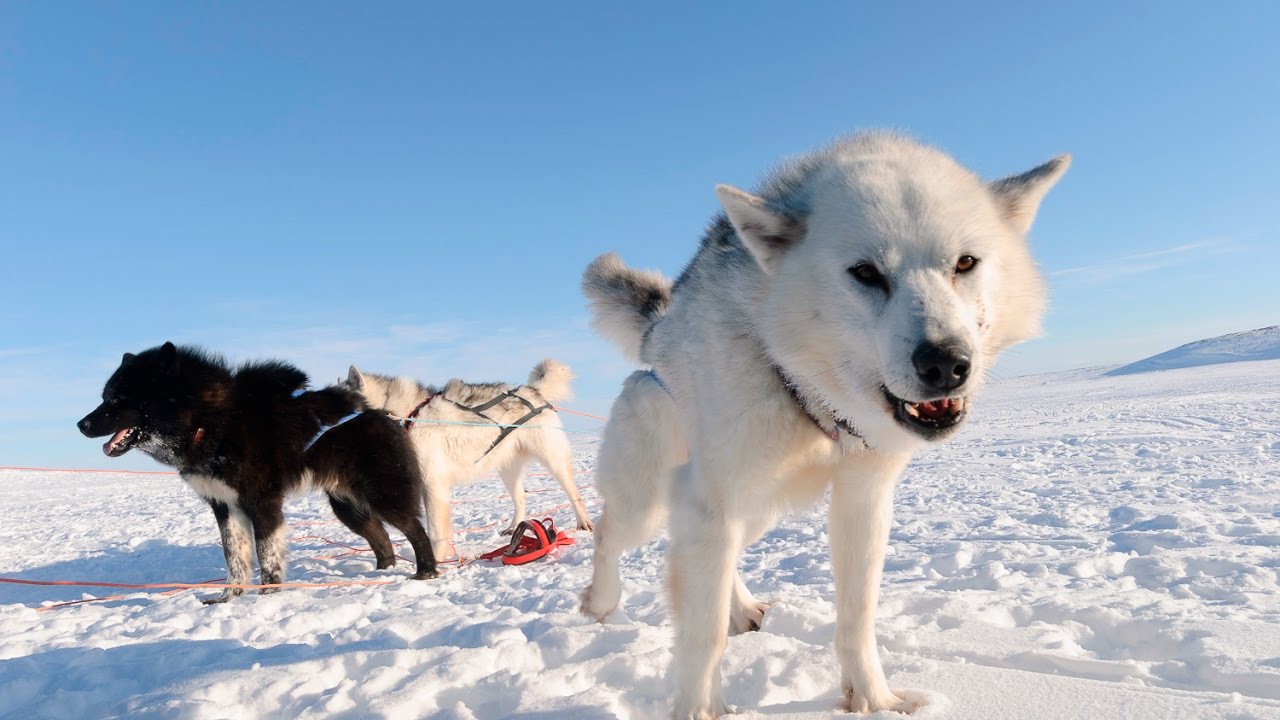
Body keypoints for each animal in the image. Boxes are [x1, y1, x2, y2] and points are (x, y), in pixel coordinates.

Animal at [81, 340, 440, 599]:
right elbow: (236, 558)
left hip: (383, 495)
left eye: (118, 399)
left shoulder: (262, 502)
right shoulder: (225, 506)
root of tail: (381, 414)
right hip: (348, 507)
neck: (210, 421)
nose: (80, 424)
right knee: (381, 537)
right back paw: (382, 572)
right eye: (105, 397)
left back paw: (426, 572)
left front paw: (267, 596)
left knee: (416, 531)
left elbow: (266, 554)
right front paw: (230, 599)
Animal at [345, 361, 593, 558]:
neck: (406, 417)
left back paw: (584, 523)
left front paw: (437, 560)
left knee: (574, 493)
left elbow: (436, 531)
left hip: (553, 460)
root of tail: (532, 390)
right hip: (507, 469)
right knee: (521, 499)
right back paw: (514, 529)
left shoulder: (433, 484)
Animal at [586, 133, 1064, 712]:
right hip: (653, 504)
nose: (946, 364)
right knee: (608, 533)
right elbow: (703, 638)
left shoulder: (864, 497)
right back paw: (601, 600)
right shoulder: (709, 505)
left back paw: (740, 606)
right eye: (866, 272)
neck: (815, 399)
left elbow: (857, 617)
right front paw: (699, 710)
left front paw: (876, 700)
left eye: (965, 263)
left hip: (750, 512)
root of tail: (656, 326)